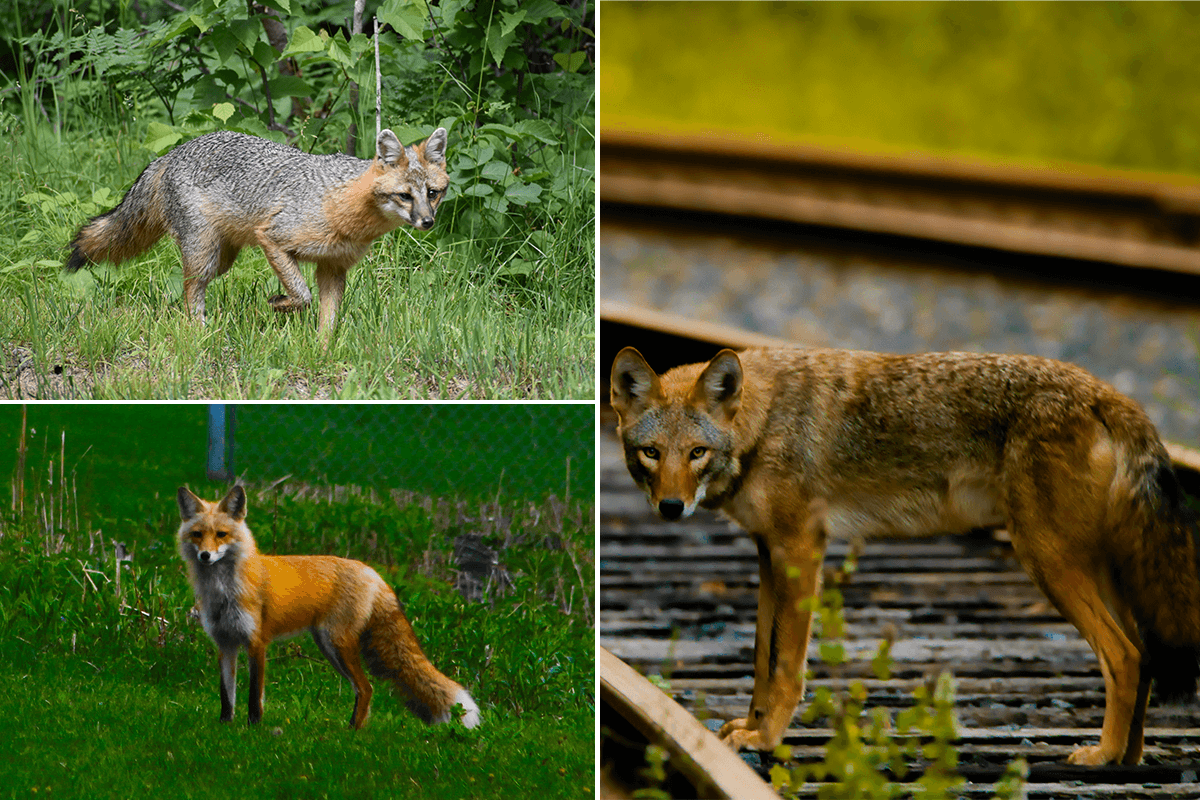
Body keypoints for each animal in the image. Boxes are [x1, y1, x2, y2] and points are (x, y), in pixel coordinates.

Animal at [66, 128, 451, 335]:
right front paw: (279, 304)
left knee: (187, 288)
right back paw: (199, 333)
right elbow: (302, 295)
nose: (427, 222)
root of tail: (172, 152)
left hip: (222, 260)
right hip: (204, 255)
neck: (341, 203)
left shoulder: (333, 266)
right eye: (405, 196)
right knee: (190, 290)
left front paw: (322, 350)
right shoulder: (274, 238)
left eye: (433, 193)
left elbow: (328, 319)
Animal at [177, 482, 477, 734]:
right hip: (329, 647)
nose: (205, 555)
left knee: (366, 687)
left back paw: (351, 732)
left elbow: (254, 696)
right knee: (363, 688)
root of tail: (372, 572)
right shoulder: (225, 643)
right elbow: (226, 695)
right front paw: (225, 726)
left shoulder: (256, 642)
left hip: (337, 644)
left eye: (221, 535)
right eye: (197, 535)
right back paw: (352, 728)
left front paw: (254, 729)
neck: (223, 591)